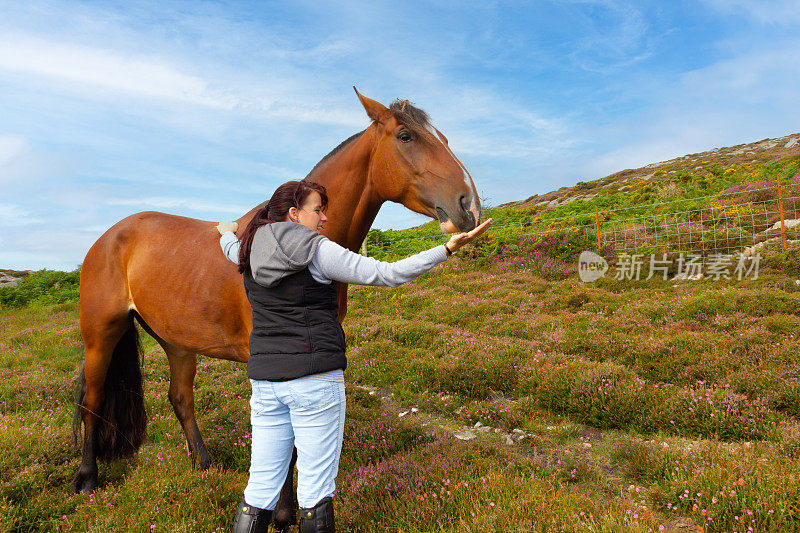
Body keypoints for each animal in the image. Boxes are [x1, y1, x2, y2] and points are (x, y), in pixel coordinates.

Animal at [72, 89, 478, 524]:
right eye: (406, 136)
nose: (469, 205)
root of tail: (107, 238)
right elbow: (287, 439)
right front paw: (282, 515)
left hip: (177, 342)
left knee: (180, 399)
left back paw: (204, 464)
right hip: (101, 336)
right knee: (93, 401)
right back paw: (88, 479)